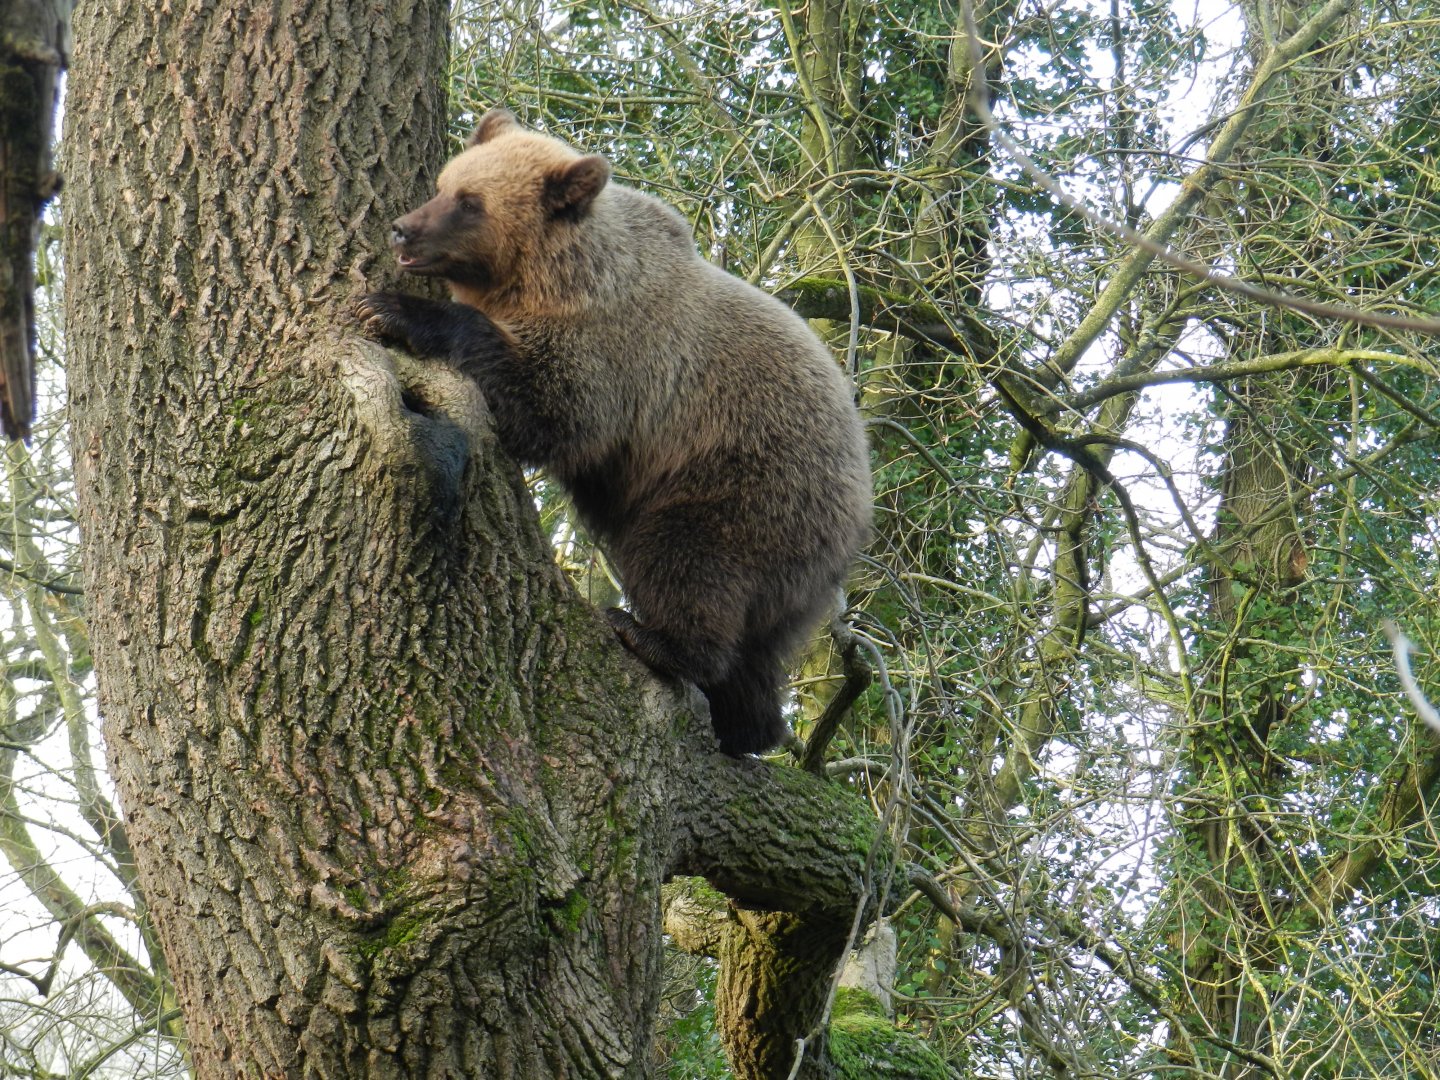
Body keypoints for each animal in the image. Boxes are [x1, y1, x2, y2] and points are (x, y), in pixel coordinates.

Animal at [356, 108, 871, 756]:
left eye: (471, 203)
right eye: (446, 183)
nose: (402, 230)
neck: (550, 276)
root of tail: (862, 504)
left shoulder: (617, 353)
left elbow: (552, 410)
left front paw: (393, 310)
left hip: (746, 484)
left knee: (687, 559)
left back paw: (654, 639)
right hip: (792, 572)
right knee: (759, 650)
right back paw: (747, 724)